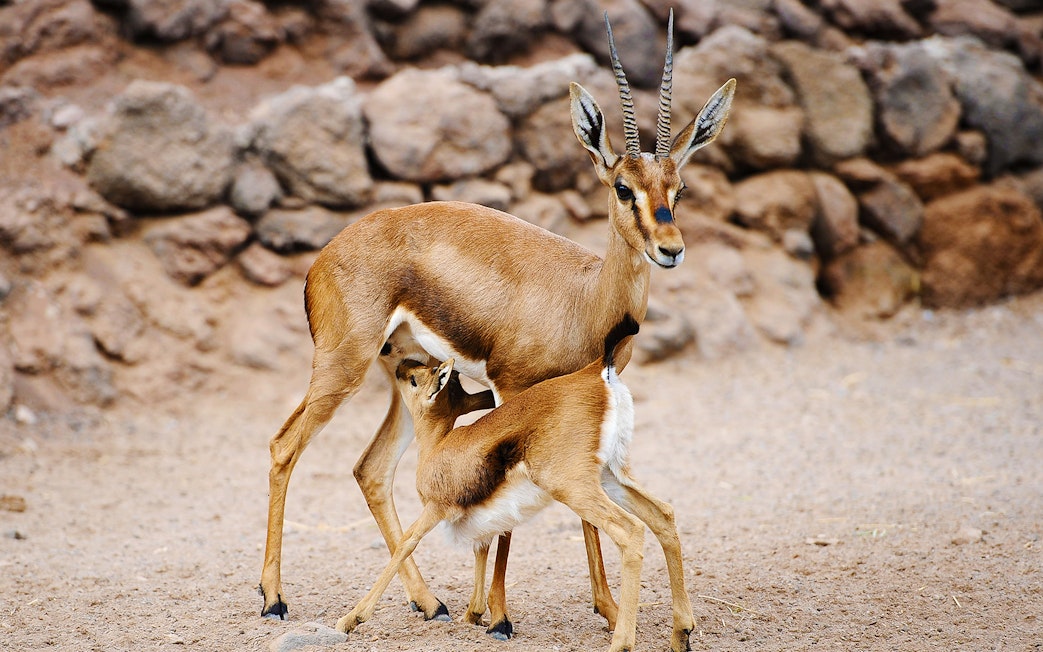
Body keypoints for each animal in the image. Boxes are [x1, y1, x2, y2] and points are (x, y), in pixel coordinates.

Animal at [337, 316, 694, 652]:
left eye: (415, 379)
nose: (399, 366)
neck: (440, 445)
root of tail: (598, 371)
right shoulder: (476, 515)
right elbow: (482, 546)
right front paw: (474, 616)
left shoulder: (436, 508)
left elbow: (406, 543)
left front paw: (352, 619)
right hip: (611, 477)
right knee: (664, 515)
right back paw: (681, 634)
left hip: (575, 488)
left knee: (630, 531)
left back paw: (622, 642)